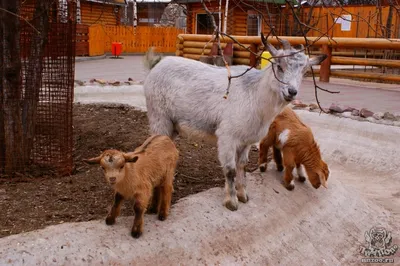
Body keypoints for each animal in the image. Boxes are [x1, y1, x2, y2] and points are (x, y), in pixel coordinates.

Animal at [142, 34, 326, 211]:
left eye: (304, 72)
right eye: (279, 67)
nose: (292, 92)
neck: (254, 94)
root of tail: (157, 65)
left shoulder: (246, 141)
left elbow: (242, 166)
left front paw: (243, 195)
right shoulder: (227, 136)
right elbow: (230, 170)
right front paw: (231, 201)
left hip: (172, 126)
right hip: (159, 117)